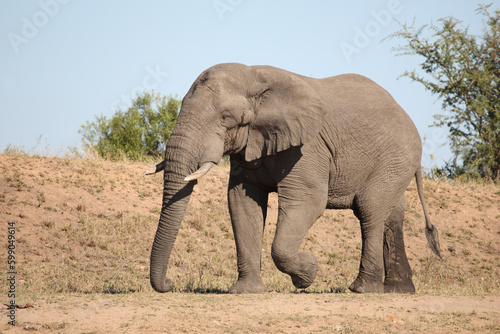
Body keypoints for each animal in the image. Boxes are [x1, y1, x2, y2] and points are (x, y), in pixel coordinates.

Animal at [146, 62, 442, 294]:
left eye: (226, 117)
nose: (170, 283)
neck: (254, 78)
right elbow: (242, 203)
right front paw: (246, 291)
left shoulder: (308, 148)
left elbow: (308, 201)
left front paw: (308, 272)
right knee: (391, 215)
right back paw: (399, 290)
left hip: (395, 158)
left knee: (370, 211)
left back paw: (363, 289)